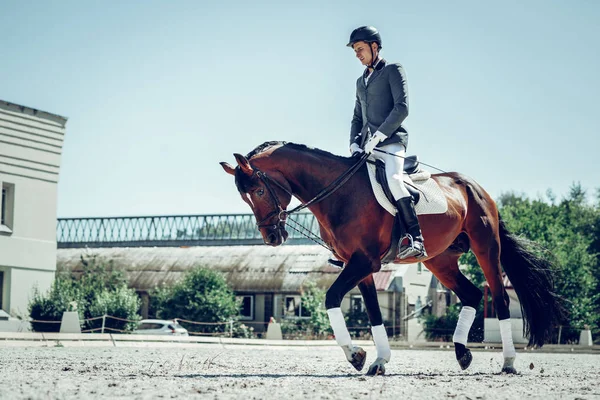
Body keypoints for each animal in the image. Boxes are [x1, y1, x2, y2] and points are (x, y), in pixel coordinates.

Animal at [219, 141, 564, 376]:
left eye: (259, 192)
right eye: (243, 198)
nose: (271, 237)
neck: (339, 193)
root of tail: (475, 187)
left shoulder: (363, 262)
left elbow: (331, 298)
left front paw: (355, 355)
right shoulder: (361, 266)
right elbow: (373, 312)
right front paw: (376, 360)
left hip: (486, 248)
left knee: (500, 299)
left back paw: (508, 361)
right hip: (440, 259)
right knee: (471, 294)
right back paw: (462, 353)